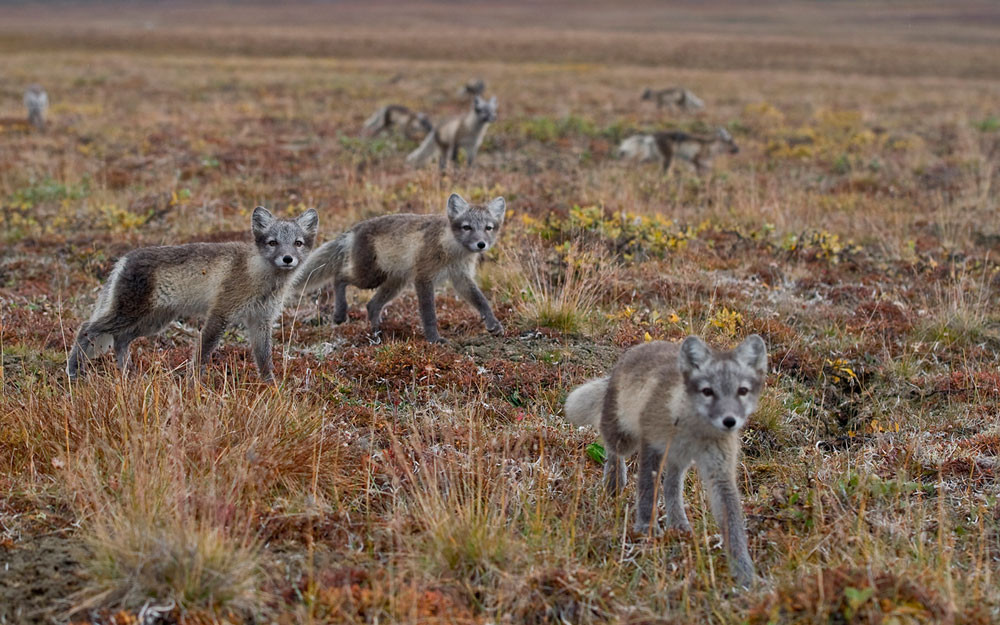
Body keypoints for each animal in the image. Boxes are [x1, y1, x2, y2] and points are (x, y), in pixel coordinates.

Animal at [67, 206, 316, 380]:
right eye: (273, 242)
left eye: (298, 243)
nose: (287, 259)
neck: (260, 277)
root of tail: (124, 258)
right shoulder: (220, 313)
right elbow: (203, 353)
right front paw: (193, 386)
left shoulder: (261, 321)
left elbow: (264, 361)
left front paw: (271, 389)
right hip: (130, 314)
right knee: (86, 329)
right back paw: (74, 372)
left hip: (152, 322)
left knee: (120, 340)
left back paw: (129, 376)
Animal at [292, 194, 504, 344]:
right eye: (467, 227)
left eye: (488, 227)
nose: (481, 244)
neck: (452, 250)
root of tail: (355, 229)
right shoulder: (423, 278)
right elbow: (429, 313)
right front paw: (434, 339)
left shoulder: (461, 278)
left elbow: (481, 301)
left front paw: (493, 324)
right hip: (370, 277)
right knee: (340, 277)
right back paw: (340, 314)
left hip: (395, 283)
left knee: (371, 305)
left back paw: (377, 335)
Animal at [568, 334, 768, 588]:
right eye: (707, 391)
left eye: (742, 391)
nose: (729, 421)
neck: (694, 430)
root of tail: (639, 347)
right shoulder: (651, 446)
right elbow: (646, 490)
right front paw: (646, 531)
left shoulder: (720, 472)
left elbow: (732, 521)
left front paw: (744, 573)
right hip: (625, 439)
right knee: (611, 448)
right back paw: (614, 482)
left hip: (677, 460)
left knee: (671, 486)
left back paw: (679, 524)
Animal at [612, 127, 740, 174]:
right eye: (731, 142)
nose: (738, 149)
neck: (710, 146)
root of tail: (652, 136)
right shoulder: (696, 157)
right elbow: (699, 167)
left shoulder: (698, 161)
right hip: (668, 155)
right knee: (665, 169)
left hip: (652, 155)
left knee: (639, 162)